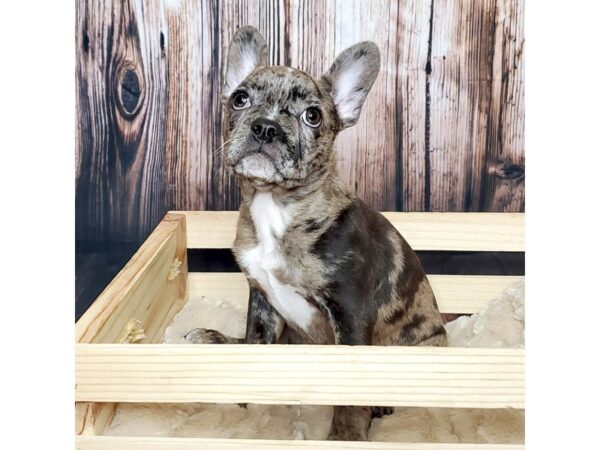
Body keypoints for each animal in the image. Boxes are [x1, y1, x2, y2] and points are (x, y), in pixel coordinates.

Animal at [185, 26, 448, 442]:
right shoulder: (261, 300)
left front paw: (346, 436)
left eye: (313, 116)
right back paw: (215, 340)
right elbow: (255, 343)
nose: (266, 127)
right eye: (240, 99)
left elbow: (349, 393)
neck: (277, 205)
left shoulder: (350, 311)